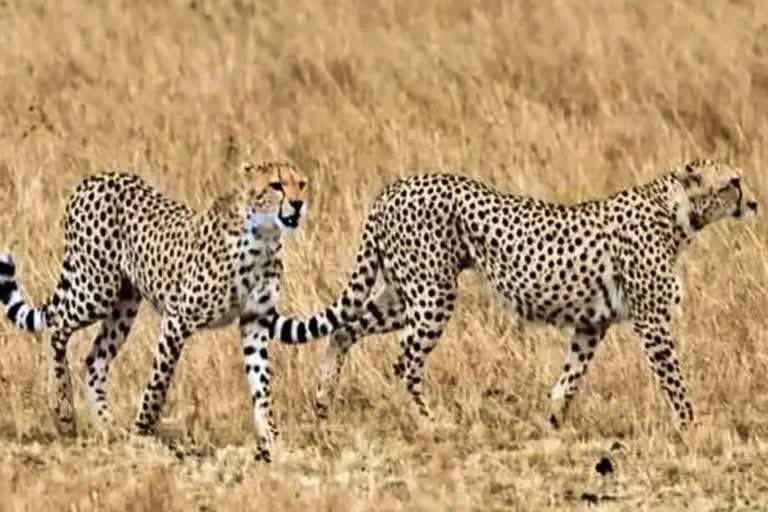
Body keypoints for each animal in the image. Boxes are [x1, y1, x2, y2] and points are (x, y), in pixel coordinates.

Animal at [0, 160, 311, 462]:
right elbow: (158, 384)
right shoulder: (177, 320)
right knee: (57, 325)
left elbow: (262, 385)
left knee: (94, 359)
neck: (263, 238)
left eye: (301, 183)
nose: (298, 203)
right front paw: (142, 434)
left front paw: (272, 439)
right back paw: (63, 407)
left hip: (123, 304)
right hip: (97, 289)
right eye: (276, 185)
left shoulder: (255, 322)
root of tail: (95, 178)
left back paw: (106, 424)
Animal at [270, 159, 758, 433]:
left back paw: (322, 402)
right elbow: (674, 381)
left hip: (404, 293)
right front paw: (691, 427)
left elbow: (571, 376)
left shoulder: (591, 323)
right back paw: (429, 421)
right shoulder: (652, 322)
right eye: (733, 181)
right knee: (403, 360)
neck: (678, 212)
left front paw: (553, 421)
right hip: (433, 295)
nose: (753, 203)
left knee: (344, 330)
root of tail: (396, 186)